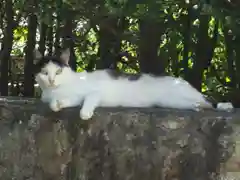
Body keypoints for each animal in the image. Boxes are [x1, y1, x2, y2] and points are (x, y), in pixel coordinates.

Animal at [34, 48, 234, 120]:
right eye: (45, 73)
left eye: (58, 72)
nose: (51, 80)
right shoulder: (64, 98)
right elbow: (56, 104)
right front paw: (57, 105)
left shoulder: (94, 92)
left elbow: (89, 99)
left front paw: (85, 113)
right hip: (173, 102)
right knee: (198, 104)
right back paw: (196, 108)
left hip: (184, 94)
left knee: (209, 102)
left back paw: (223, 106)